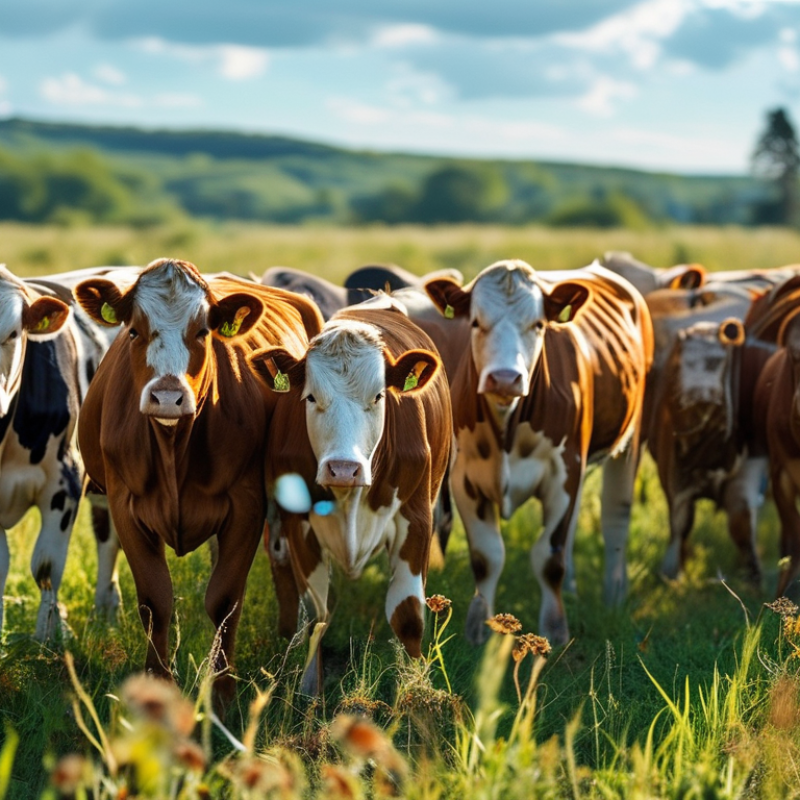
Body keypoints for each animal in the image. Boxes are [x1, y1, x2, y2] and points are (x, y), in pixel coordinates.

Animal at [74, 258, 323, 707]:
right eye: (134, 330)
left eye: (203, 331)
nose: (167, 397)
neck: (174, 446)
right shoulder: (124, 505)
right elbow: (154, 601)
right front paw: (157, 685)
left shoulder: (247, 507)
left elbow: (225, 600)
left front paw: (223, 694)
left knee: (284, 558)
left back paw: (290, 636)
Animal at [249, 296, 451, 693]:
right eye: (310, 397)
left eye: (378, 396)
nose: (343, 468)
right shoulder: (298, 524)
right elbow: (318, 613)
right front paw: (309, 687)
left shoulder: (417, 520)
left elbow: (408, 615)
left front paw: (416, 687)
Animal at [424, 259, 653, 646]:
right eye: (475, 322)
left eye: (538, 324)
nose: (504, 378)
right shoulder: (465, 477)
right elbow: (487, 556)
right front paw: (478, 627)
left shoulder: (564, 474)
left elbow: (549, 558)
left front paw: (555, 630)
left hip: (630, 437)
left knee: (615, 518)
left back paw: (614, 593)